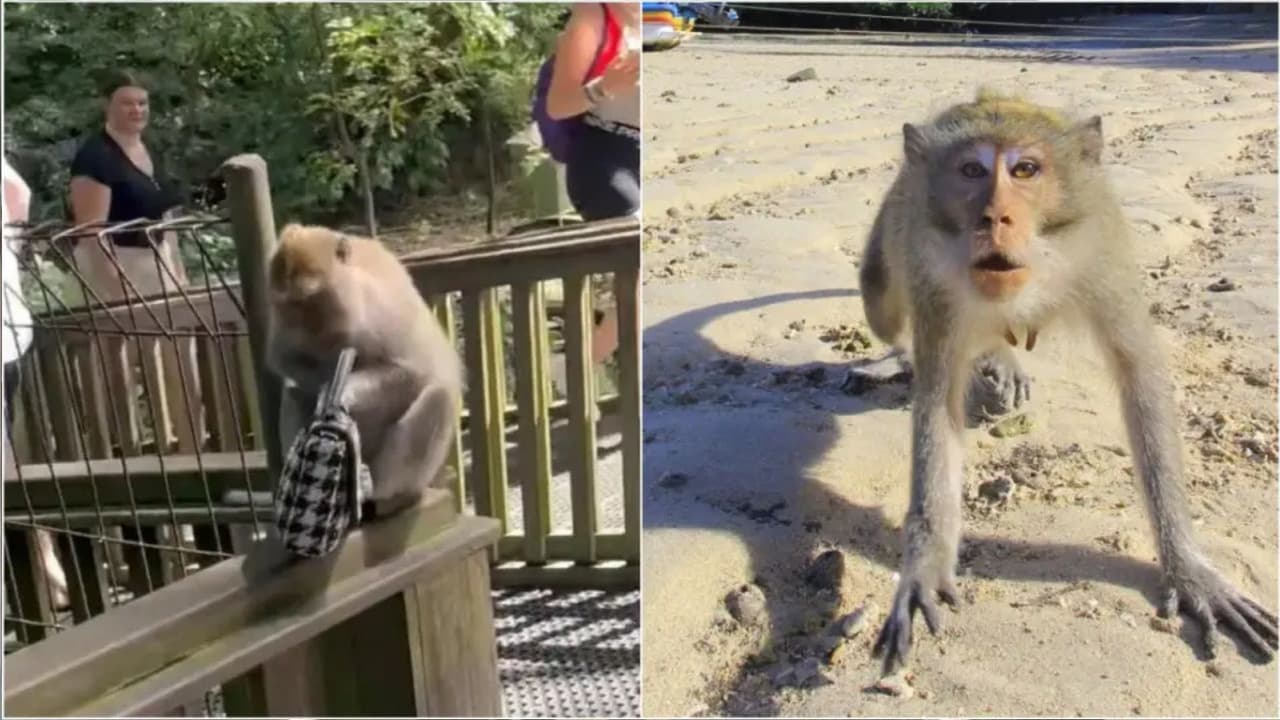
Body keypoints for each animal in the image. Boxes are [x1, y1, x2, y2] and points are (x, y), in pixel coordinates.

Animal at [265, 224, 464, 515]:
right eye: (288, 305)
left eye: (307, 300)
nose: (297, 326)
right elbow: (284, 359)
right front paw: (326, 384)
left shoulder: (381, 314)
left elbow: (413, 372)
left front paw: (340, 390)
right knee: (293, 393)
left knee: (439, 397)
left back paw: (378, 492)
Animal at [859, 89, 1278, 674]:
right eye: (971, 171)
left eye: (1025, 169)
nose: (994, 216)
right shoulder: (931, 270)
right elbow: (938, 403)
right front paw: (923, 565)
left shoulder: (1102, 250)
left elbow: (1139, 374)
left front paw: (1188, 567)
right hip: (898, 222)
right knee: (881, 302)